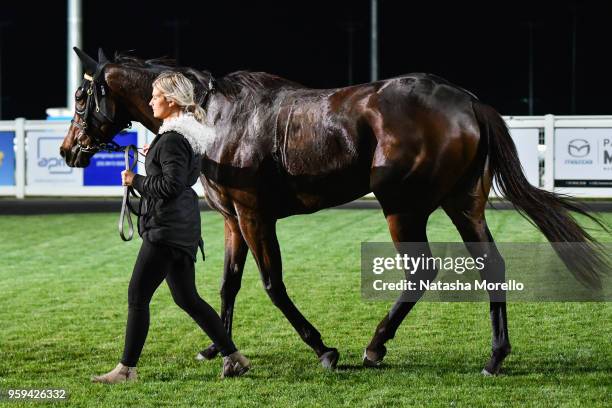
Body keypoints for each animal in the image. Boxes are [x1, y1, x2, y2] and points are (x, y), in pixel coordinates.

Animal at [61, 47, 608, 372]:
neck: (215, 119)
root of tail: (469, 102)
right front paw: (218, 345)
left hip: (401, 206)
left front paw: (323, 347)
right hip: (464, 203)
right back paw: (495, 355)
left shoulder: (255, 215)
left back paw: (376, 345)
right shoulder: (232, 219)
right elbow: (227, 284)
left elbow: (272, 283)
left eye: (82, 95)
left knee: (420, 270)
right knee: (491, 265)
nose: (69, 150)